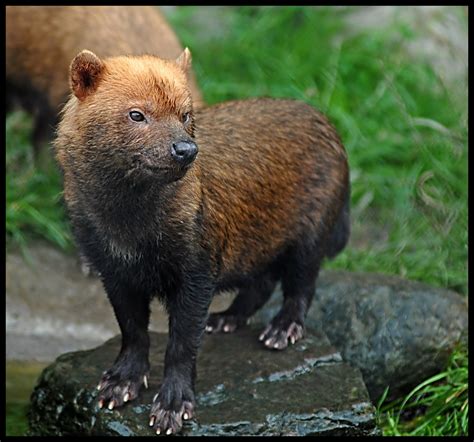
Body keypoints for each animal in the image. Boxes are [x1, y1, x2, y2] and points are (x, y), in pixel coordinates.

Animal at [55, 49, 350, 436]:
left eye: (185, 114)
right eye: (136, 113)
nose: (185, 148)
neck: (131, 234)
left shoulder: (197, 267)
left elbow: (182, 342)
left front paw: (172, 406)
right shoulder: (110, 268)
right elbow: (132, 329)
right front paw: (119, 384)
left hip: (312, 230)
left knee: (301, 283)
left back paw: (281, 329)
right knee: (263, 281)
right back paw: (225, 319)